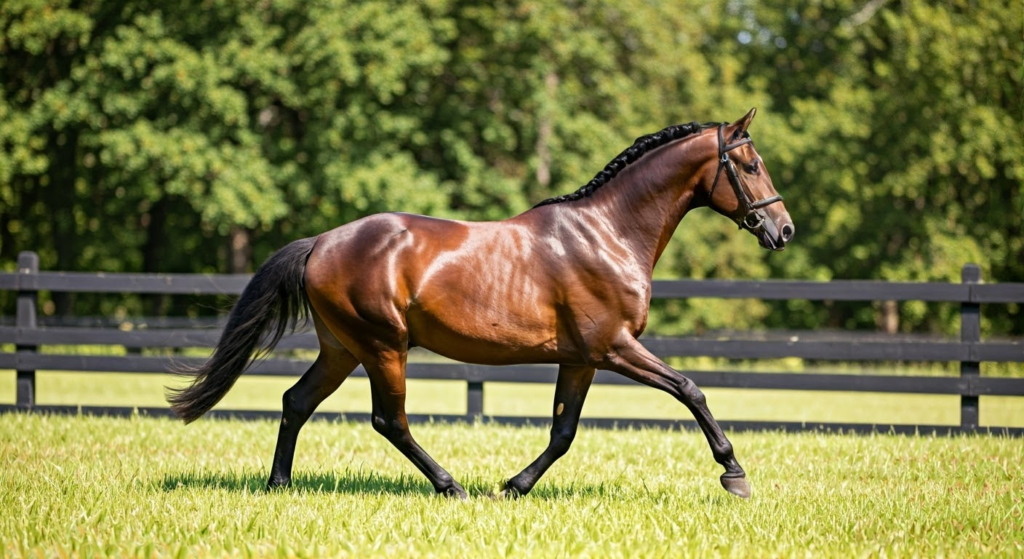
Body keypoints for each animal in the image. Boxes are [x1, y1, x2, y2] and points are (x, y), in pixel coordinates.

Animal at [167, 107, 794, 495]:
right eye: (750, 164)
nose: (783, 230)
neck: (607, 233)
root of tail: (321, 242)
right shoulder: (614, 347)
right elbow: (690, 389)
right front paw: (734, 473)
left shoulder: (581, 359)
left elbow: (563, 433)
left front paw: (515, 487)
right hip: (383, 348)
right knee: (389, 420)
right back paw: (450, 486)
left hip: (342, 349)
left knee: (296, 402)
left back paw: (280, 485)